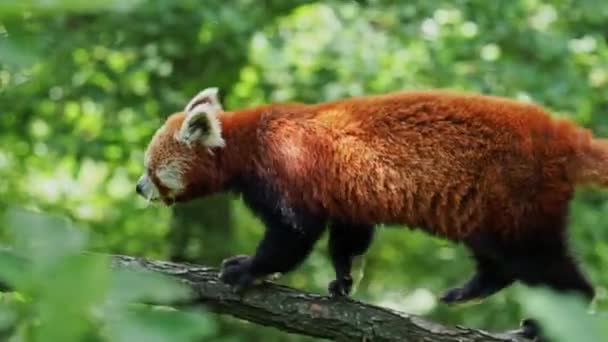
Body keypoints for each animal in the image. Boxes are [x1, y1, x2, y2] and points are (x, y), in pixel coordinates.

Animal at [135, 87, 604, 304]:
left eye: (151, 169)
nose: (139, 187)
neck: (245, 142)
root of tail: (558, 134)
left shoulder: (287, 167)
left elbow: (292, 234)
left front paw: (247, 268)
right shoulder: (346, 194)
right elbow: (349, 238)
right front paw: (344, 280)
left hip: (515, 193)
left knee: (538, 259)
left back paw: (565, 308)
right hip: (485, 208)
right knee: (497, 256)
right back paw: (471, 290)